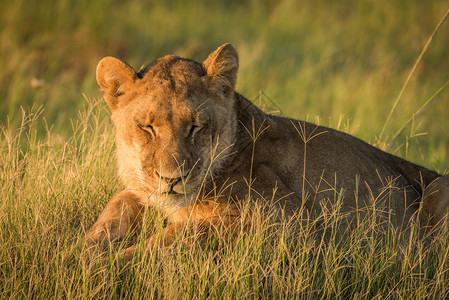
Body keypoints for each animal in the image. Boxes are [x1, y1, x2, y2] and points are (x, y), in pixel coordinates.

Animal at [86, 43, 448, 262]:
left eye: (195, 127)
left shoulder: (288, 221)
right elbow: (118, 203)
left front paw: (109, 265)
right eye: (147, 128)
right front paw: (88, 250)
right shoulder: (143, 192)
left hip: (438, 189)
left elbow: (179, 235)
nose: (173, 179)